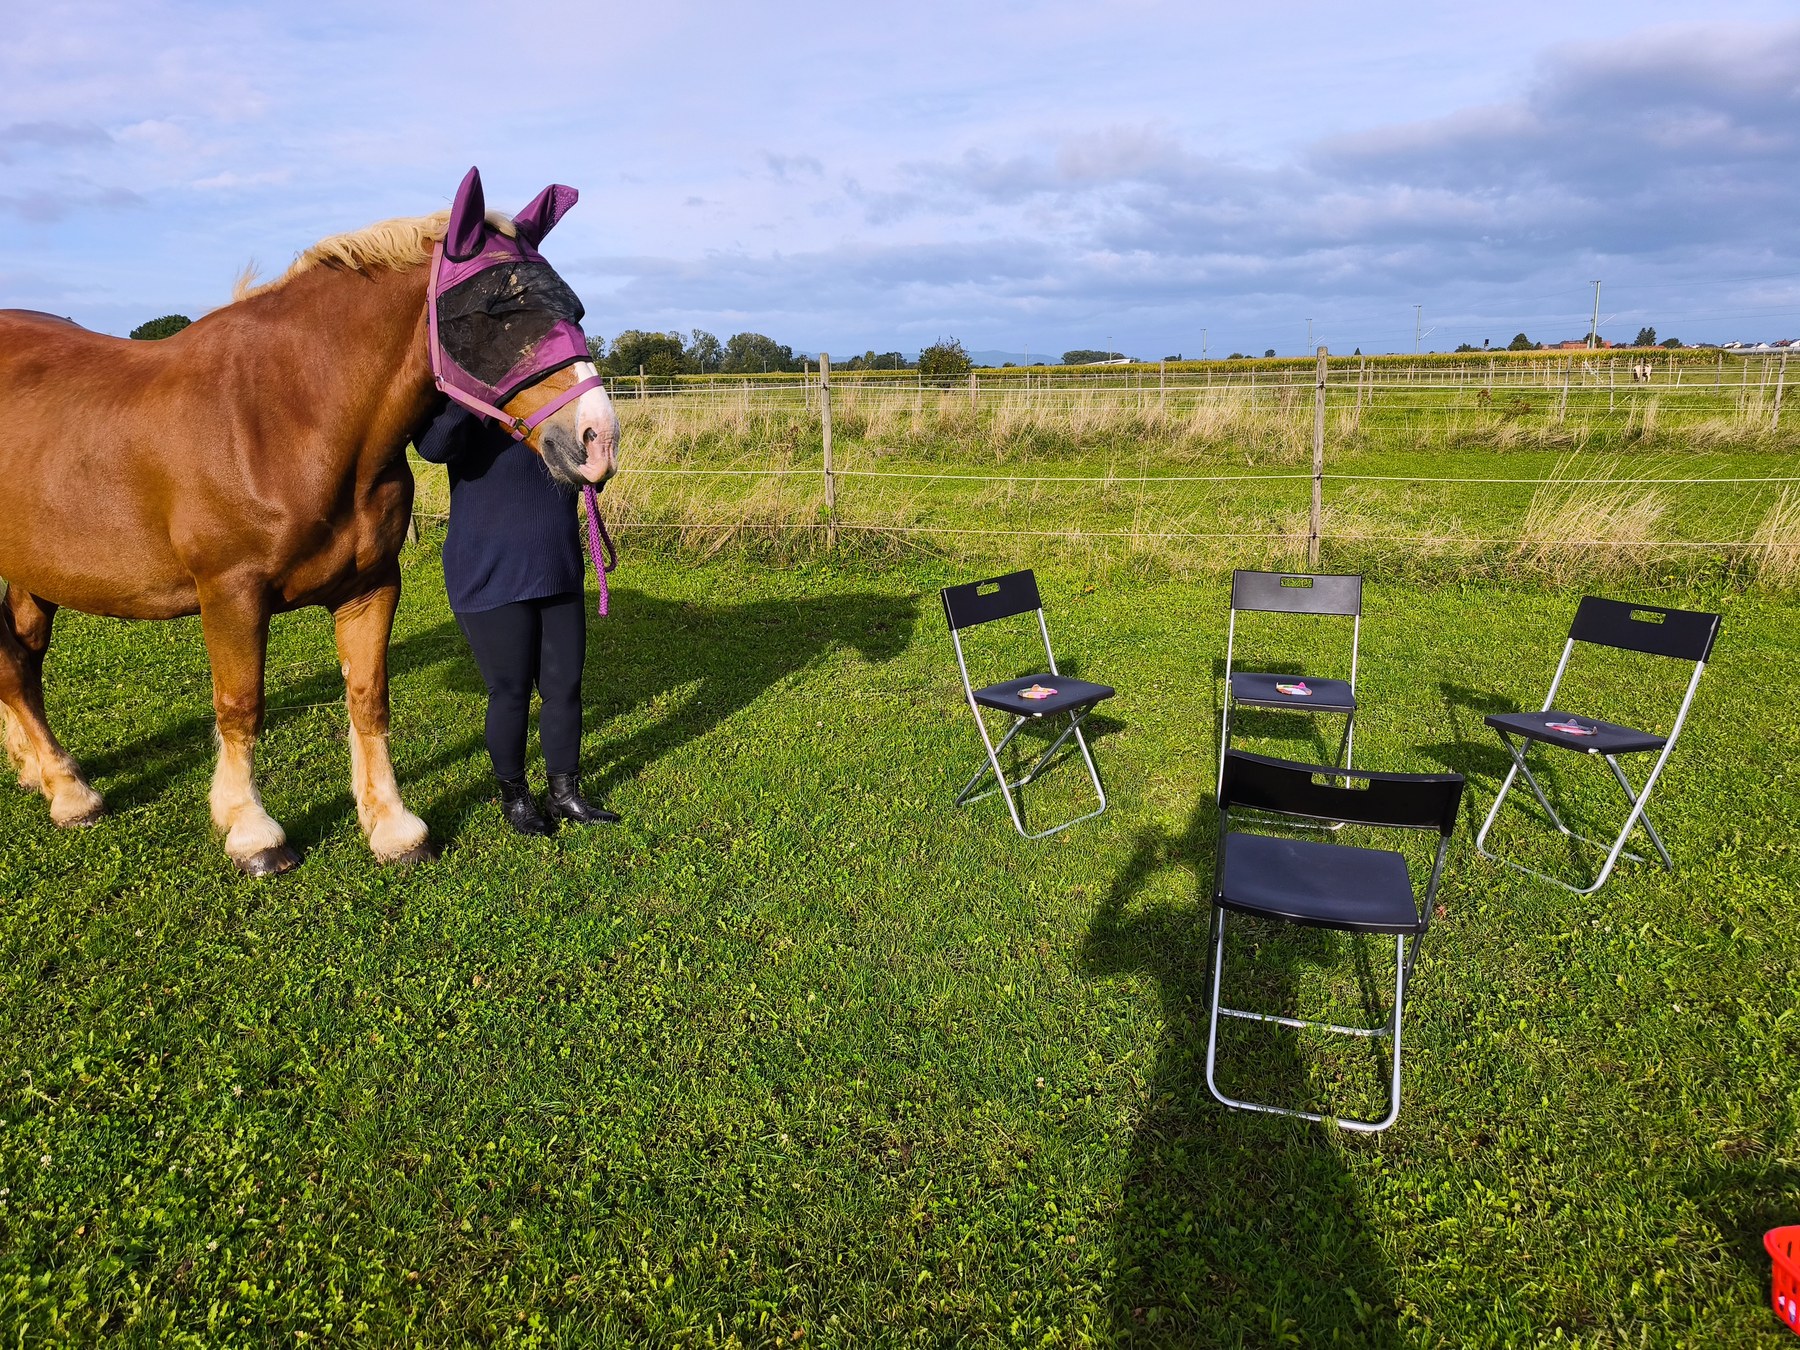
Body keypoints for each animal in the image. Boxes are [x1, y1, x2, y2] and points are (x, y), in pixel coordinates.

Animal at [0, 167, 619, 875]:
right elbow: (240, 706)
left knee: (18, 662)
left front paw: (392, 825)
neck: (285, 417)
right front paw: (251, 831)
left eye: (574, 310)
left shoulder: (370, 586)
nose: (598, 440)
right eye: (497, 311)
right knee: (15, 667)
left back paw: (43, 773)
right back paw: (68, 791)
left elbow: (369, 698)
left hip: (34, 571)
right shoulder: (231, 594)